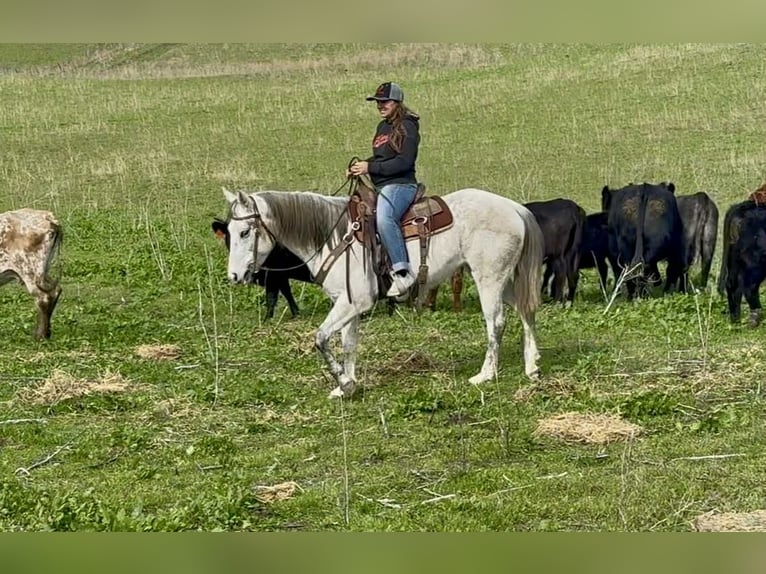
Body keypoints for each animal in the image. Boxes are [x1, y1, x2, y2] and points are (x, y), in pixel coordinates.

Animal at [222, 186, 544, 399]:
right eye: (228, 231)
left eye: (245, 232)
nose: (234, 276)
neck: (333, 236)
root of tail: (515, 208)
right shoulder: (346, 304)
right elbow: (348, 344)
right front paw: (346, 385)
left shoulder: (353, 303)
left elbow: (321, 339)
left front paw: (344, 383)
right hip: (506, 281)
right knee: (526, 312)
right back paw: (531, 366)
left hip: (488, 279)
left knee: (496, 323)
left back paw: (486, 374)